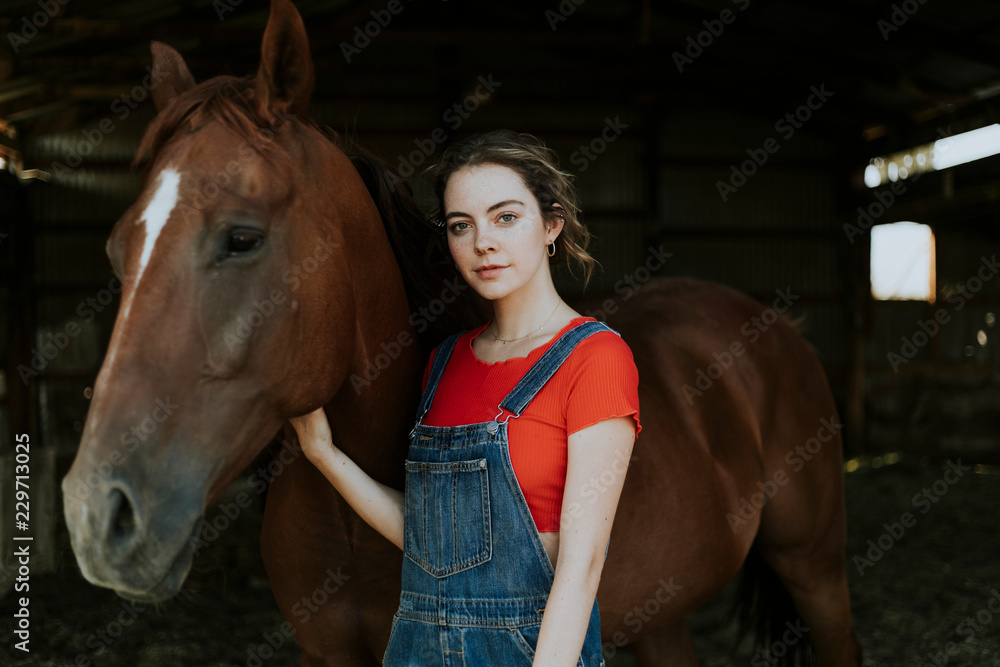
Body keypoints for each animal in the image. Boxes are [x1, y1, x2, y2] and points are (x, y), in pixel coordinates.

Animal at [60, 0, 860, 664]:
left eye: (242, 238)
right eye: (117, 252)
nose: (98, 516)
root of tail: (772, 325)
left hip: (815, 567)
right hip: (660, 614)